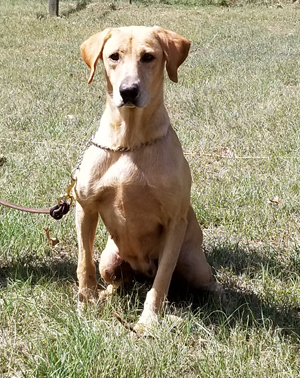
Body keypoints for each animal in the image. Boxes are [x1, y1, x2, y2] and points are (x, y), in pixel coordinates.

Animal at [75, 25, 221, 330]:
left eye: (149, 57)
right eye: (114, 56)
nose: (128, 91)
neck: (129, 142)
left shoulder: (175, 222)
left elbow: (161, 281)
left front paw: (149, 321)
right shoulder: (85, 208)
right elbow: (84, 263)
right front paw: (86, 303)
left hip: (192, 262)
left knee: (205, 281)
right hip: (110, 259)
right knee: (117, 281)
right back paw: (105, 295)